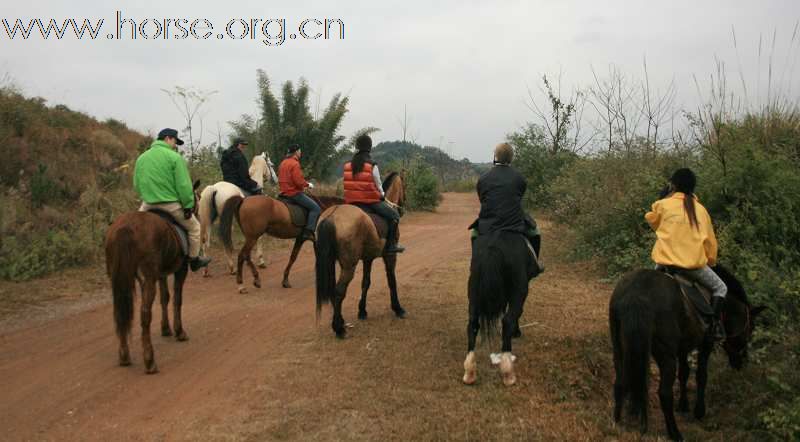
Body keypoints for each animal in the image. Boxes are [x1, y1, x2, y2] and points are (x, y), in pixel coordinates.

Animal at [104, 179, 202, 372]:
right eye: (196, 197)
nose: (194, 212)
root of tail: (126, 227)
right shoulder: (181, 270)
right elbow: (177, 299)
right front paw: (179, 331)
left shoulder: (161, 274)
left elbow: (165, 297)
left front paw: (166, 329)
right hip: (147, 278)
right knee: (144, 314)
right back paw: (149, 360)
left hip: (118, 279)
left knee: (120, 312)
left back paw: (124, 356)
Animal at [316, 174, 410, 338]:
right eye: (404, 185)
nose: (402, 208)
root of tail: (331, 216)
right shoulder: (390, 256)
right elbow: (392, 281)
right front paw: (397, 308)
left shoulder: (368, 258)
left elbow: (366, 283)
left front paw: (362, 311)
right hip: (349, 266)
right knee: (339, 292)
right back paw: (338, 328)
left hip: (329, 262)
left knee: (334, 291)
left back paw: (340, 322)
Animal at [460, 231, 536, 386]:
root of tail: (493, 248)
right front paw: (516, 332)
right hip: (519, 290)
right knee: (508, 320)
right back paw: (508, 371)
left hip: (473, 292)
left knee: (472, 324)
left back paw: (470, 371)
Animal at [608, 264, 764, 440]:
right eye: (751, 328)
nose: (743, 362)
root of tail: (637, 293)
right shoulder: (706, 344)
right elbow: (701, 376)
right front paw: (699, 411)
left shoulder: (682, 347)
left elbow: (684, 373)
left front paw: (683, 405)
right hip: (666, 356)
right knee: (664, 393)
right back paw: (675, 433)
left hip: (619, 347)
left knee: (620, 381)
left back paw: (617, 421)